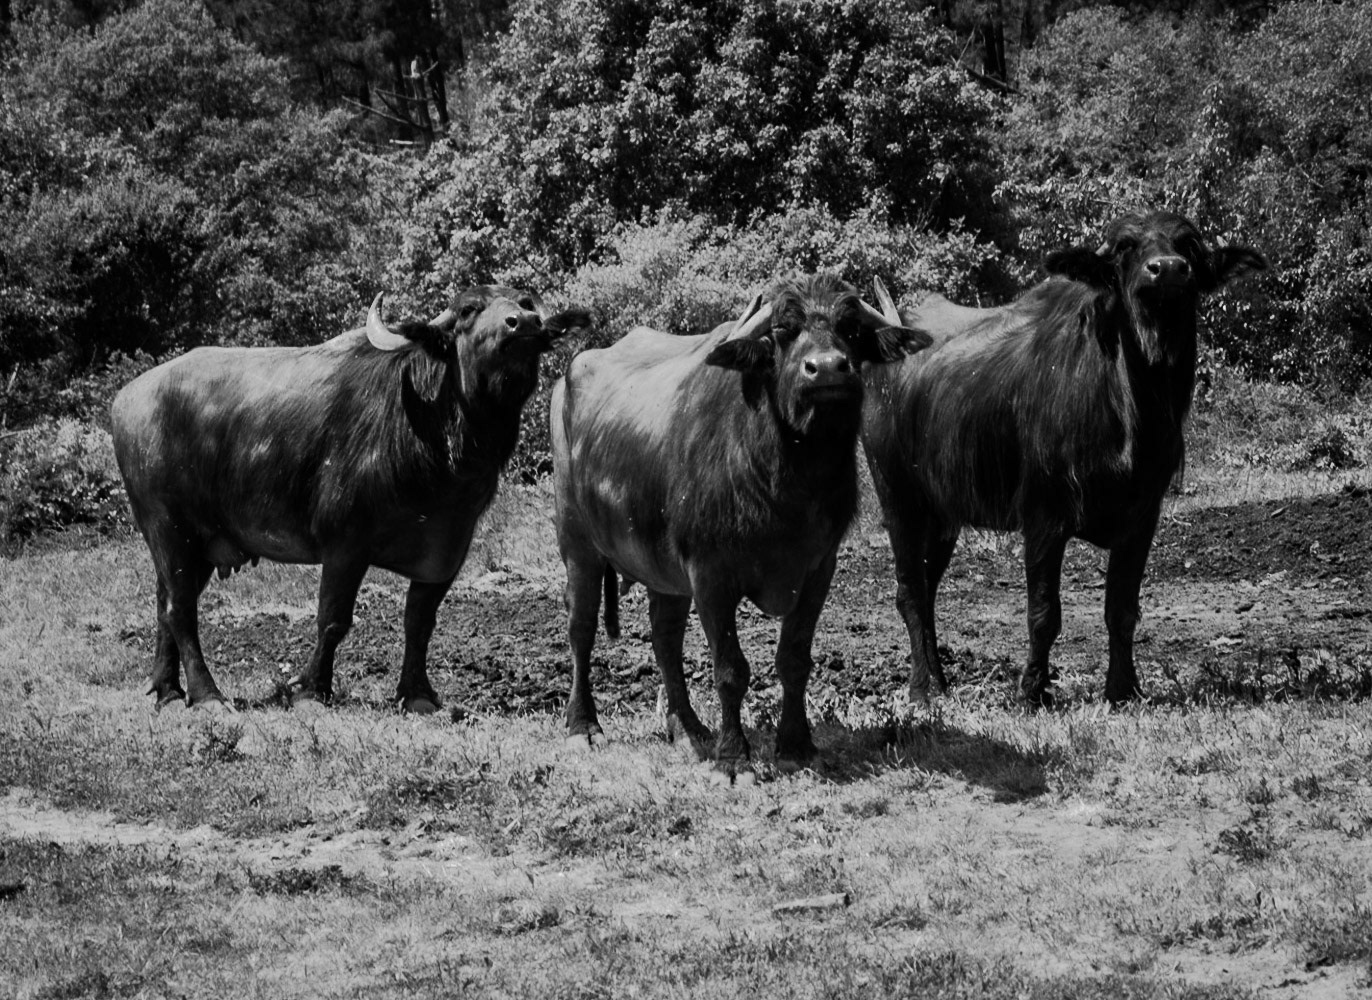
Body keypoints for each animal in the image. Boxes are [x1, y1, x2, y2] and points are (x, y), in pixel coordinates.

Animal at [112, 286, 591, 712]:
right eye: (470, 309)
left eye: (525, 301)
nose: (522, 323)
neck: (430, 437)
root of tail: (126, 399)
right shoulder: (345, 544)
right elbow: (333, 619)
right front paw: (311, 690)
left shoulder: (447, 549)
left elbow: (420, 622)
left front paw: (418, 694)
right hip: (168, 527)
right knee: (180, 610)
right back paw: (207, 695)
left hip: (196, 545)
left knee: (165, 605)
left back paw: (168, 691)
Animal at [551, 275, 931, 778]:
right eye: (782, 330)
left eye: (850, 328)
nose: (828, 369)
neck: (787, 484)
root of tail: (565, 380)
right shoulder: (710, 573)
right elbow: (730, 669)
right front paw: (733, 758)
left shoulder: (819, 568)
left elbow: (794, 659)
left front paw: (796, 745)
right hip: (577, 542)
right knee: (581, 627)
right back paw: (583, 727)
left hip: (662, 570)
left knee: (665, 639)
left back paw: (688, 728)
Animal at [861, 211, 1266, 706]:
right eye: (1125, 247)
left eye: (1188, 245)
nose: (1168, 270)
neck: (1131, 412)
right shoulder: (1042, 516)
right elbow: (1044, 613)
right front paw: (1032, 691)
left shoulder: (1143, 518)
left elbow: (1122, 609)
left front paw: (1123, 688)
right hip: (897, 496)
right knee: (909, 592)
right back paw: (923, 688)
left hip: (942, 515)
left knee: (927, 585)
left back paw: (939, 678)